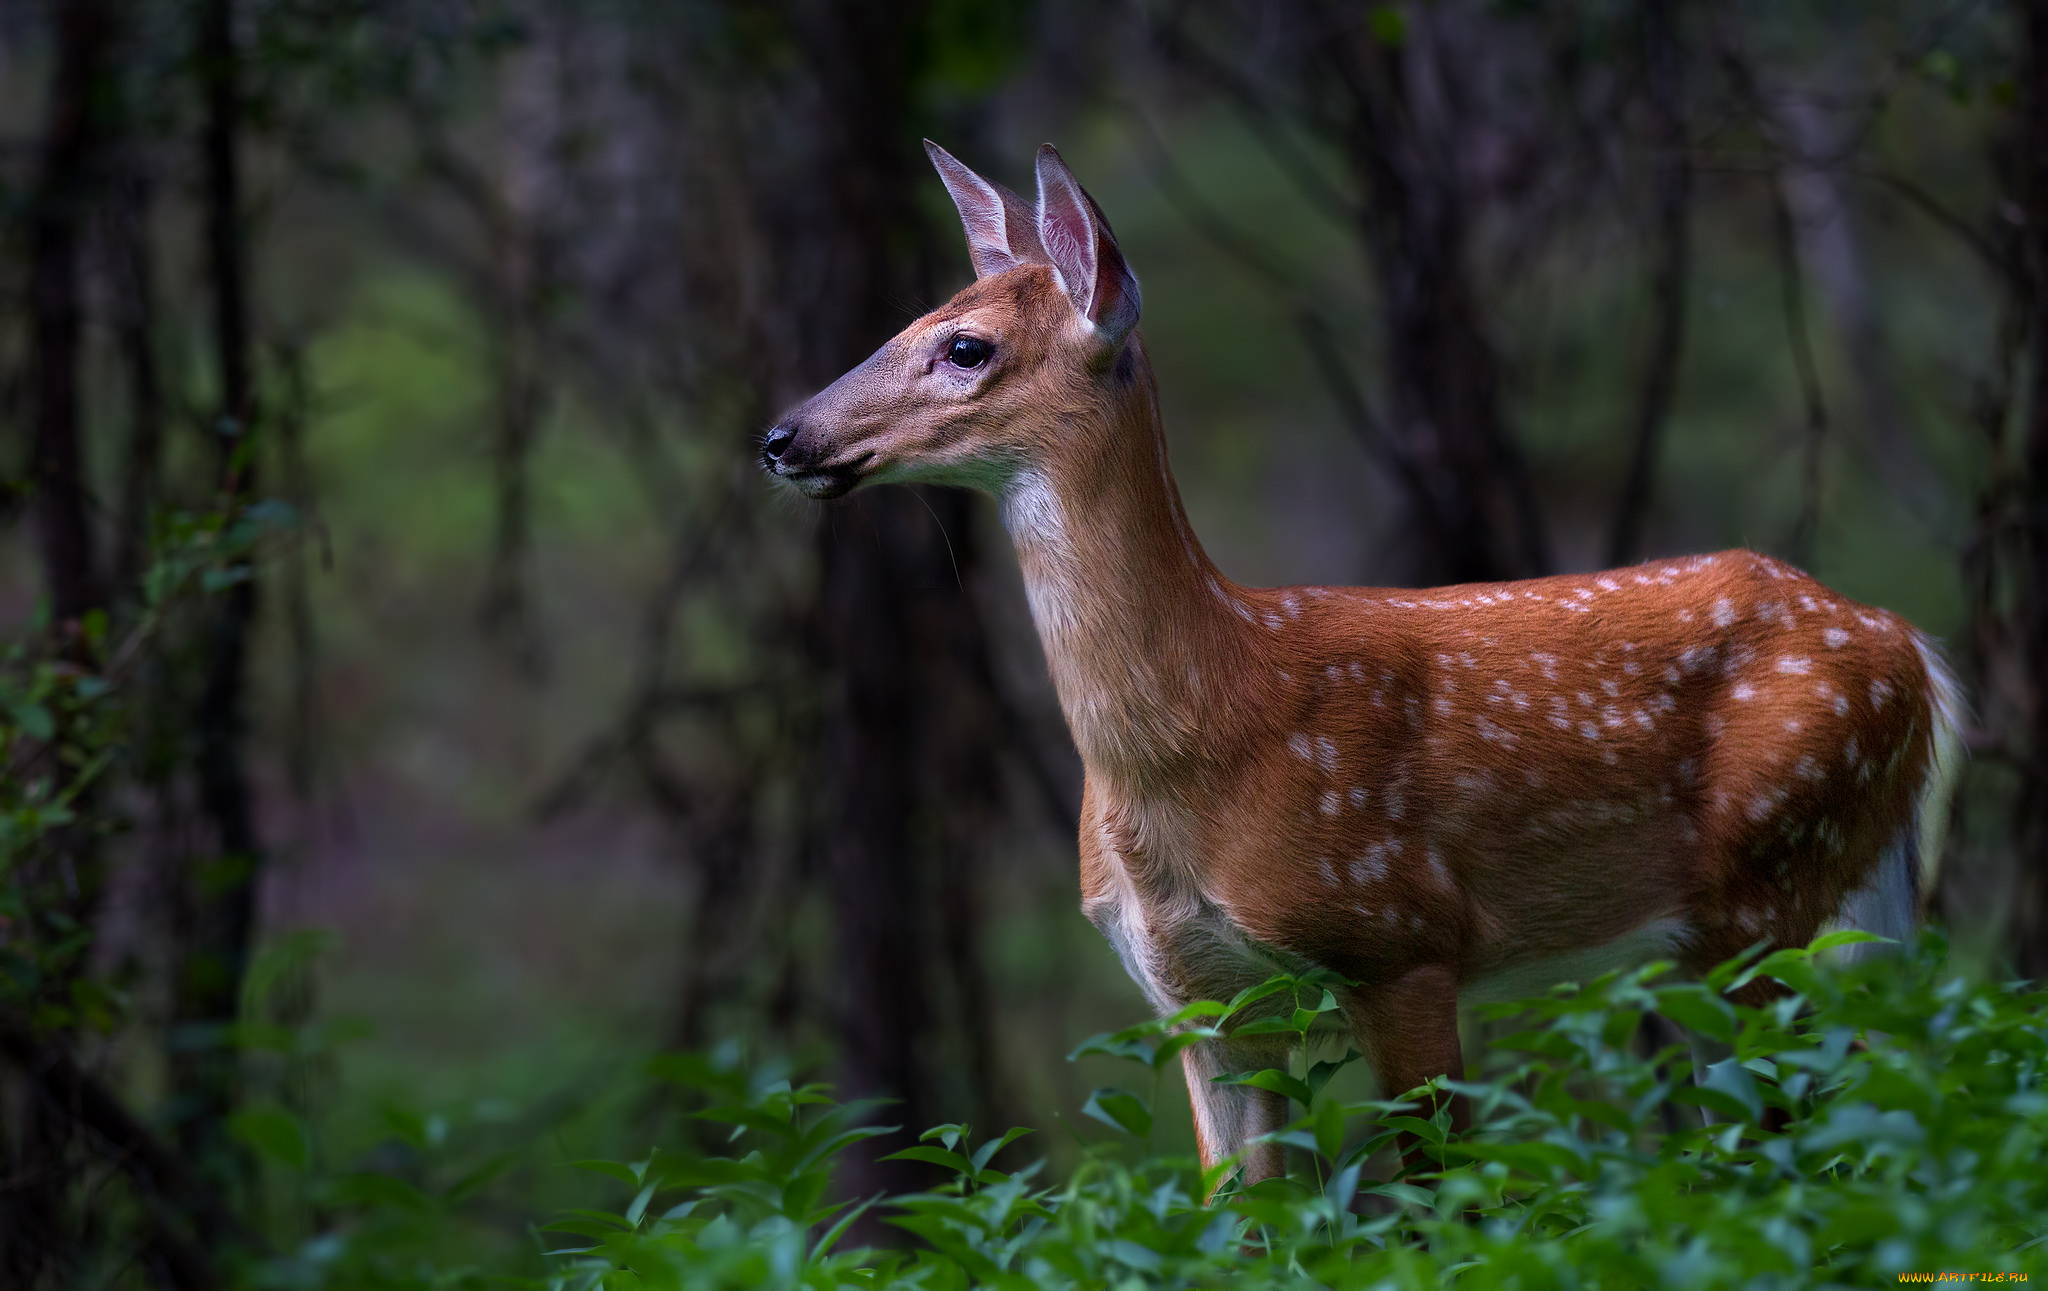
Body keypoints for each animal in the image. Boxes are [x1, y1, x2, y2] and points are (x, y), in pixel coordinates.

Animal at [765, 139, 1966, 1180]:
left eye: (964, 346)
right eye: (908, 319)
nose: (783, 436)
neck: (1214, 721)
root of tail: (1909, 647)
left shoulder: (1401, 937)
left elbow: (1448, 1195)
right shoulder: (1198, 1000)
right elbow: (1239, 1215)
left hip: (1769, 884)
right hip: (1802, 908)